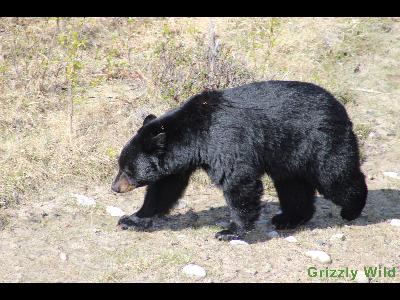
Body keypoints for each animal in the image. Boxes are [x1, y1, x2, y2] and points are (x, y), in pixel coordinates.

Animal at [111, 81, 368, 240]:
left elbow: (238, 181)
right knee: (293, 186)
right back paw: (288, 218)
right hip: (288, 154)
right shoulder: (178, 163)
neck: (195, 135)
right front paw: (131, 219)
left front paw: (229, 231)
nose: (115, 187)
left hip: (319, 141)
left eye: (128, 170)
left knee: (335, 176)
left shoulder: (225, 141)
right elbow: (164, 189)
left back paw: (351, 209)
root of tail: (341, 108)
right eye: (121, 166)